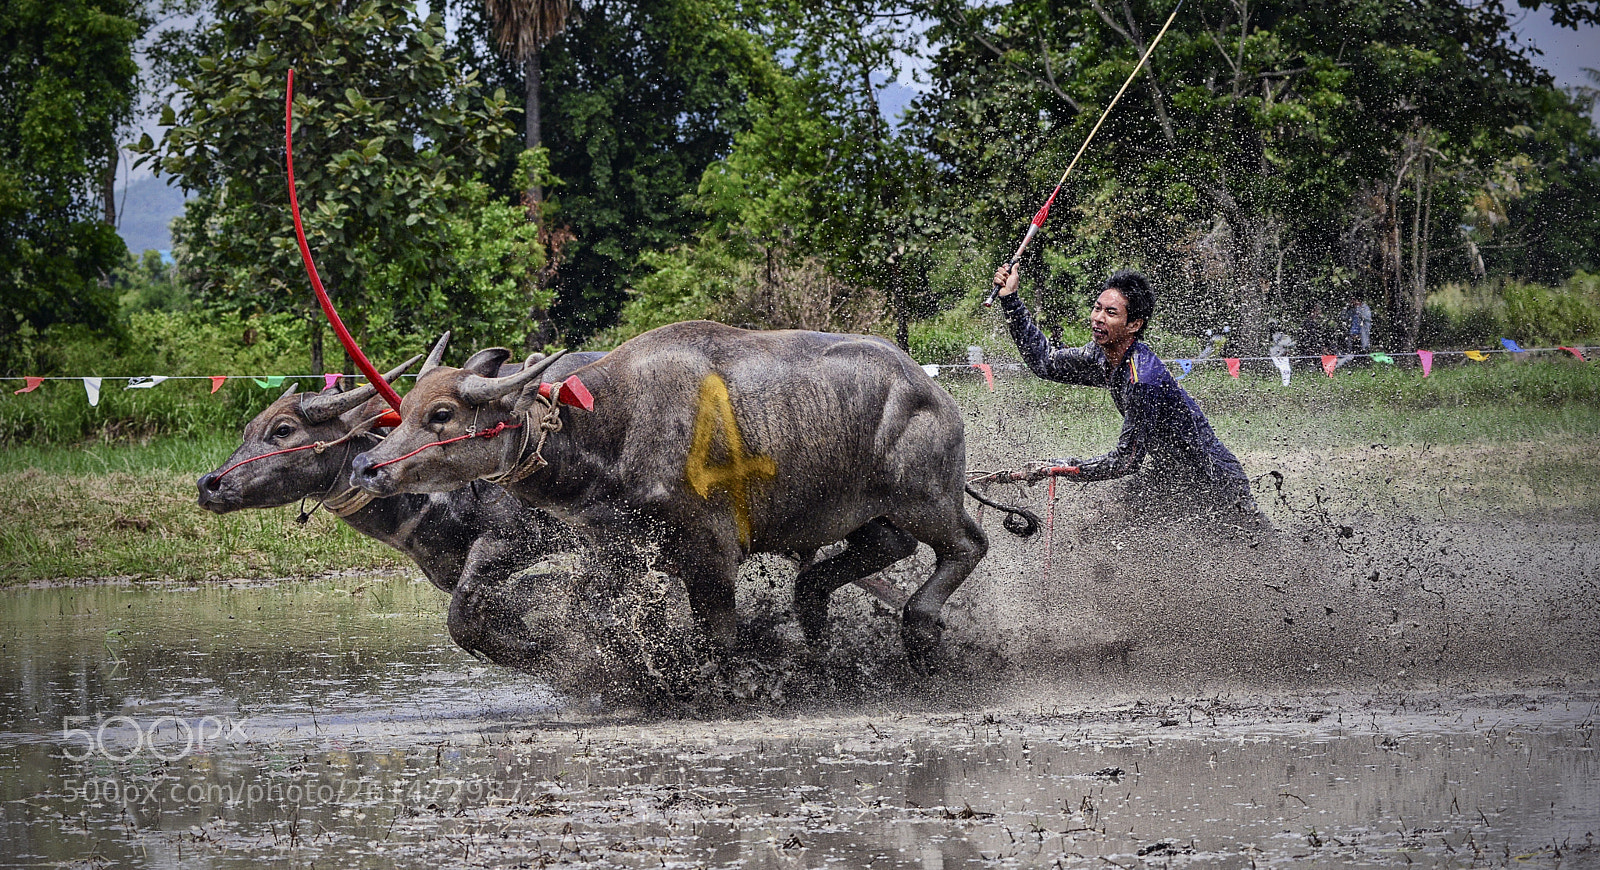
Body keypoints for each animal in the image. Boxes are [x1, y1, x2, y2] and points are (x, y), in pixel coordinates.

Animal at [350, 321, 1033, 671]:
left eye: (442, 414)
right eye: (403, 410)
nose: (365, 464)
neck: (613, 426)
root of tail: (933, 392)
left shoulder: (711, 549)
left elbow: (720, 632)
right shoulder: (618, 548)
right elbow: (585, 611)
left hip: (927, 498)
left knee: (968, 545)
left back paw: (918, 624)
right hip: (864, 512)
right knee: (875, 552)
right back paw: (814, 616)